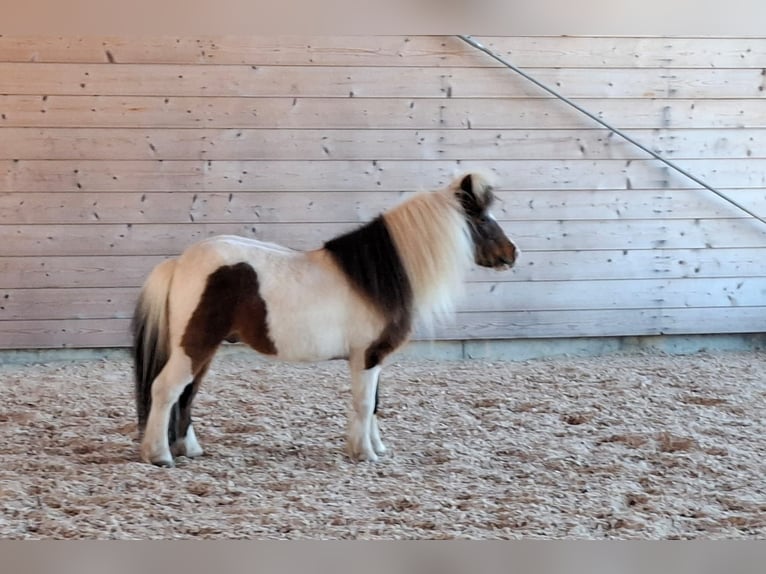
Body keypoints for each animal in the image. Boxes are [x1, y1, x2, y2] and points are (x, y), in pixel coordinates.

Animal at [132, 172, 518, 467]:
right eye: (483, 220)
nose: (512, 253)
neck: (379, 276)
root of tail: (180, 262)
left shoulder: (372, 359)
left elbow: (375, 404)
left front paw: (375, 448)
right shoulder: (367, 356)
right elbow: (365, 403)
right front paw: (364, 454)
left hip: (204, 350)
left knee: (187, 394)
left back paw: (189, 450)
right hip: (194, 346)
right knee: (166, 390)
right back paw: (159, 455)